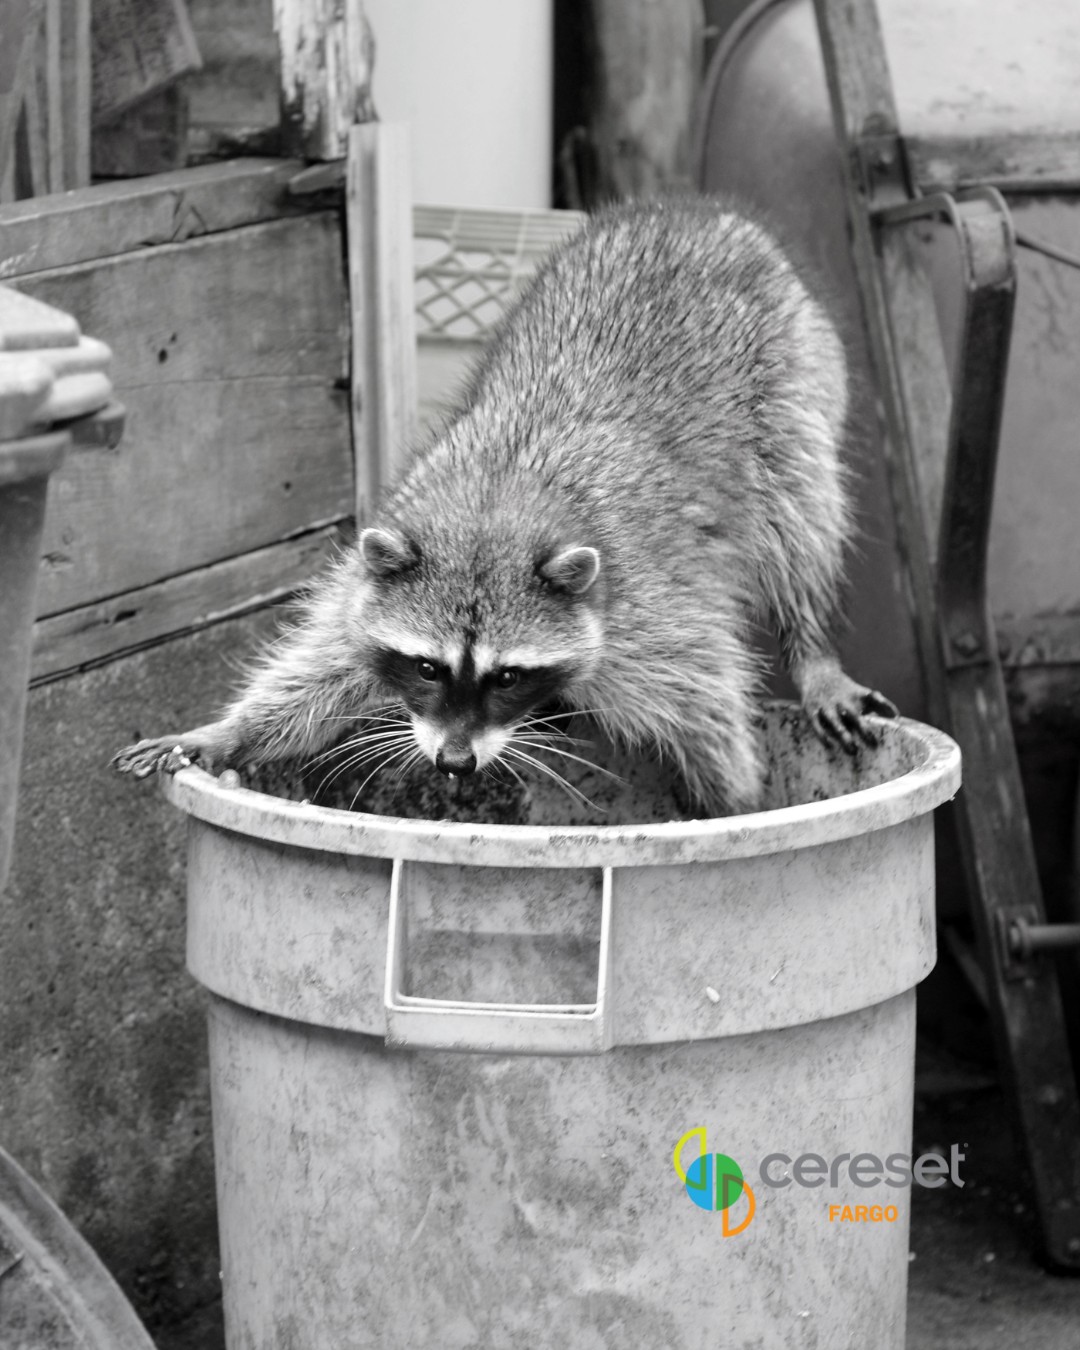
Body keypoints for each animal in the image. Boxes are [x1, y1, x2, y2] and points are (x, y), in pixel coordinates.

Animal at [113, 197, 896, 816]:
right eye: (427, 668)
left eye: (509, 676)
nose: (455, 764)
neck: (492, 509)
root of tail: (700, 214)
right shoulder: (373, 575)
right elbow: (313, 676)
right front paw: (227, 731)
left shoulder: (652, 620)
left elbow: (709, 713)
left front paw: (732, 809)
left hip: (797, 391)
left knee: (801, 519)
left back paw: (812, 644)